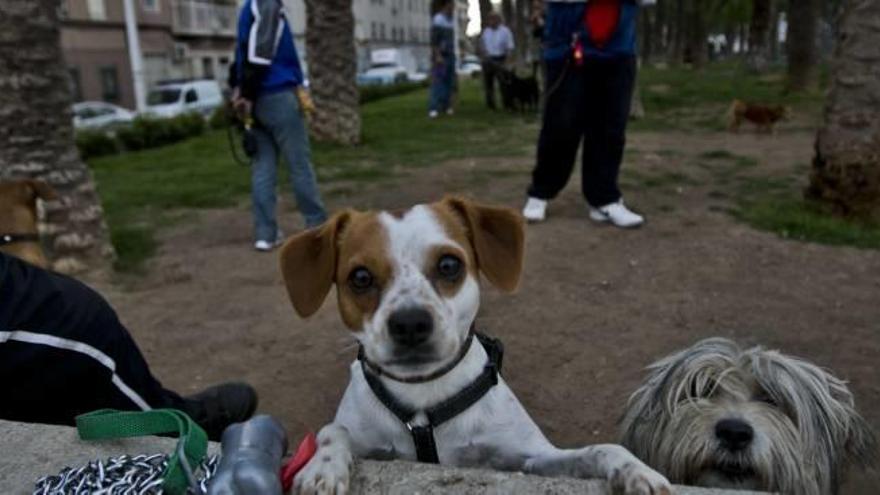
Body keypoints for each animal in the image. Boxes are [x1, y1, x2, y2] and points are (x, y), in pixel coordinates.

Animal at [282, 198, 672, 495]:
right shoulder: (367, 443)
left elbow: (600, 449)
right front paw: (323, 467)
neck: (424, 394)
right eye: (360, 277)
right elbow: (332, 430)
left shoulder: (530, 458)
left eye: (448, 264)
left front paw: (635, 470)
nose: (410, 323)